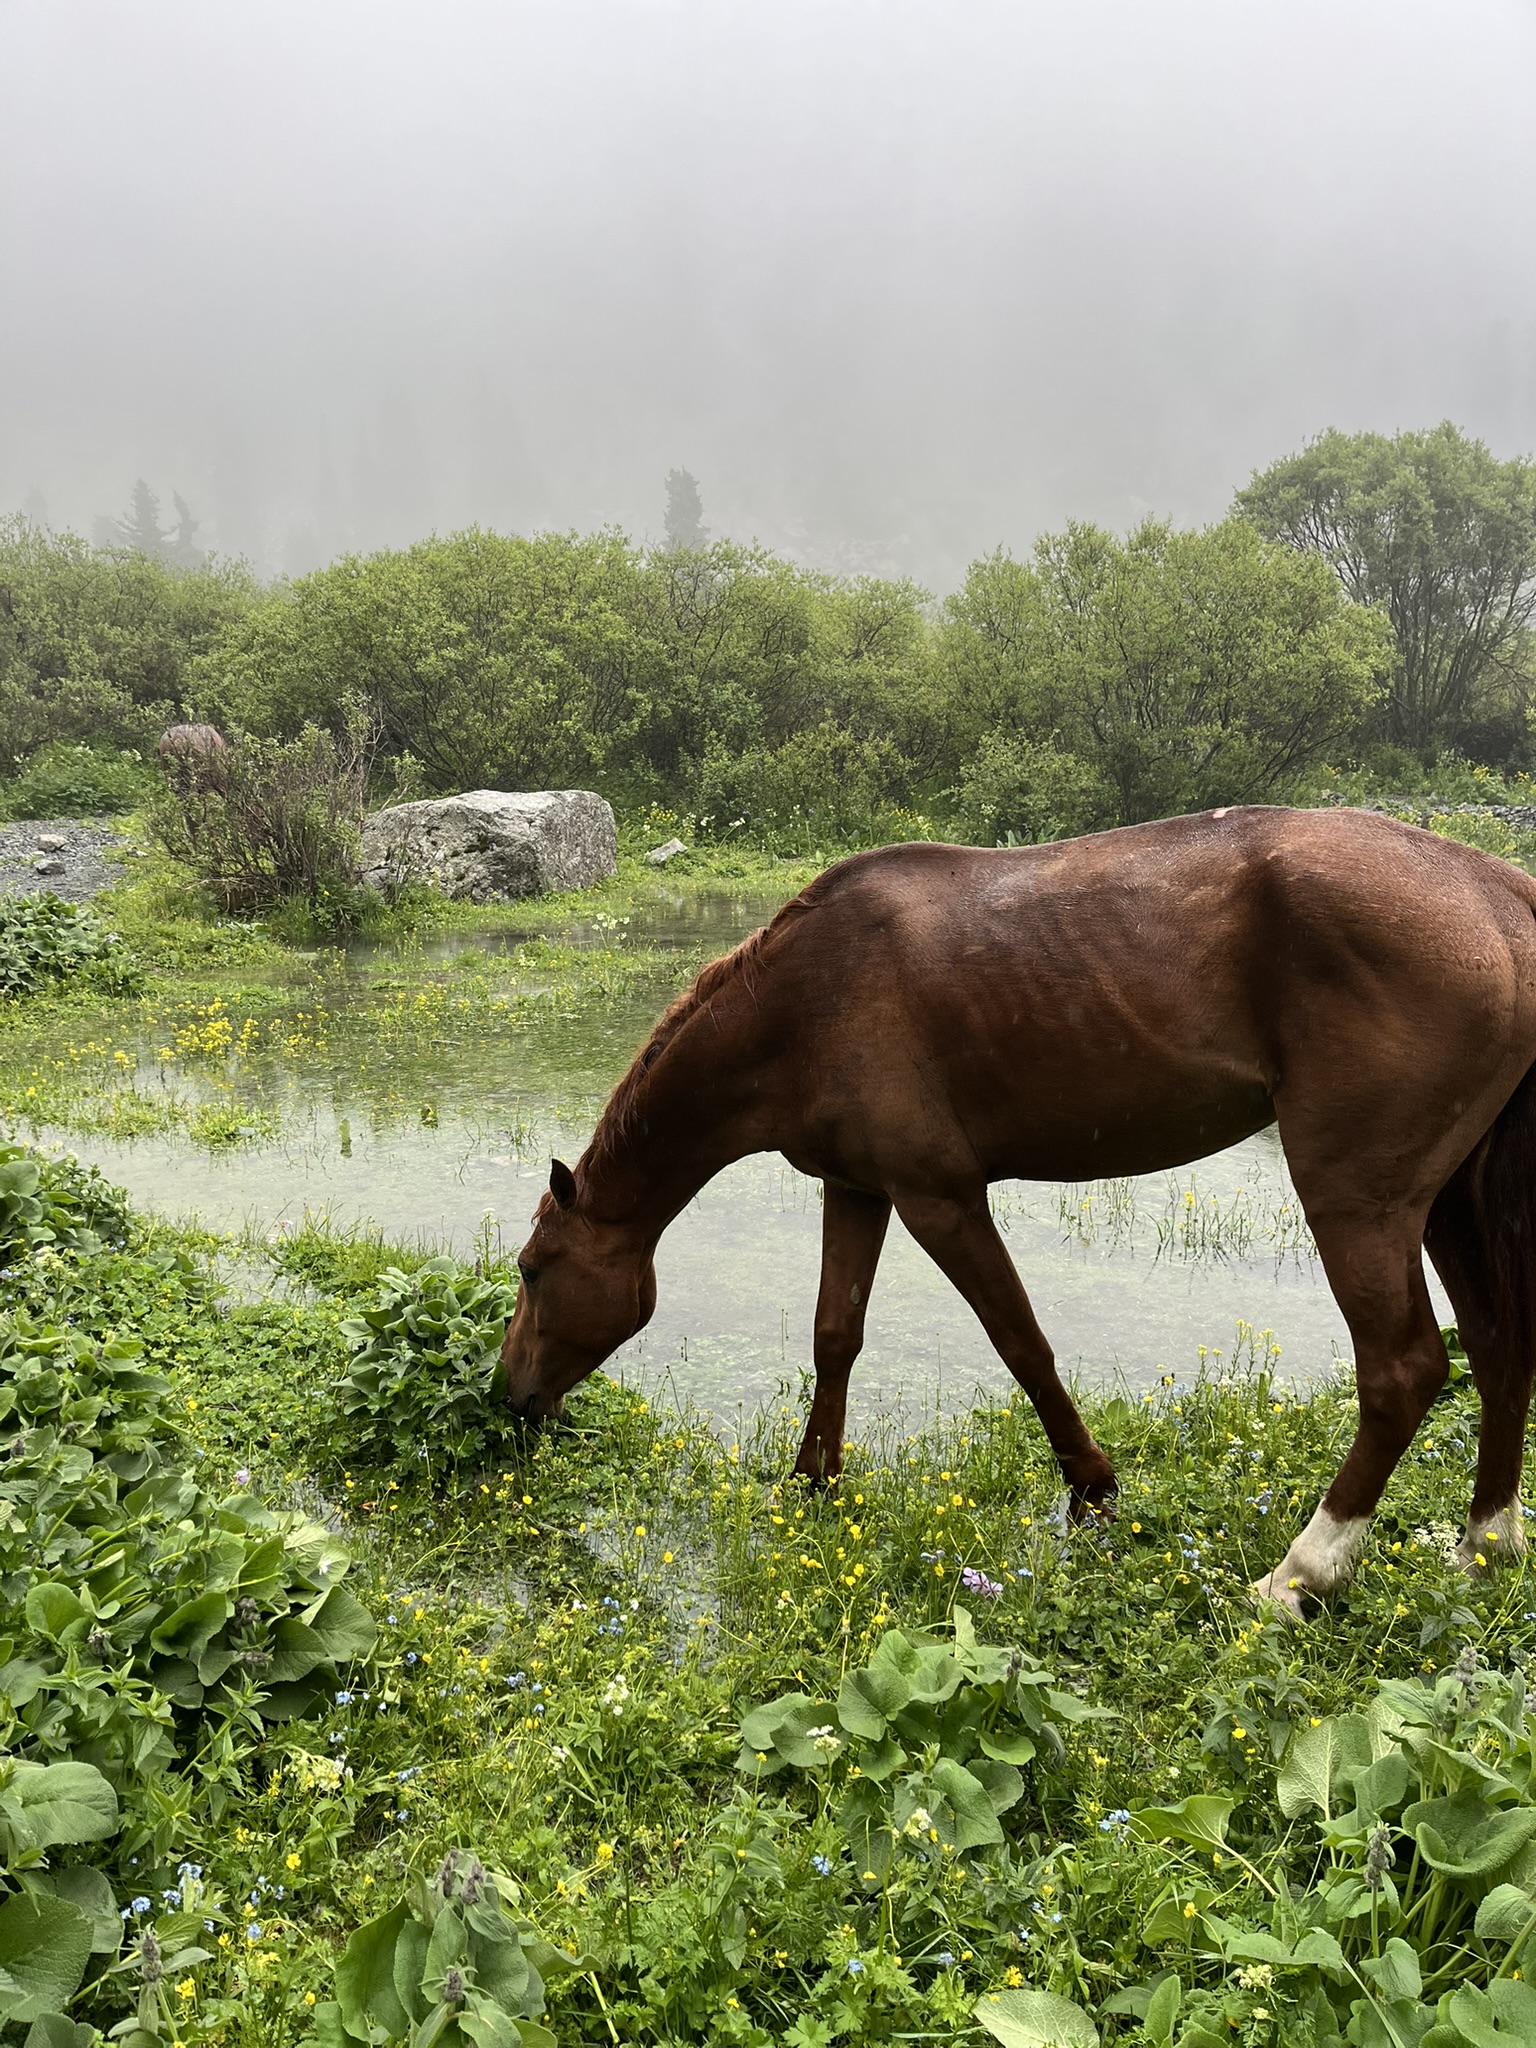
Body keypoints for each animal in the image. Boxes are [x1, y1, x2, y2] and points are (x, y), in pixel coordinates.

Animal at [501, 806, 1536, 1619]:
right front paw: (811, 1483)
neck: (804, 1001)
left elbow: (1020, 1342)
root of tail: (1496, 890)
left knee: (1404, 1369)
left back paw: (1300, 1576)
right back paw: (1484, 1547)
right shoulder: (858, 1188)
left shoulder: (939, 1198)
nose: (510, 1396)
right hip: (1445, 1199)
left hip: (1358, 1198)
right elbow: (835, 1333)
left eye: (532, 1270)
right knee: (1496, 1348)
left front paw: (1092, 1490)